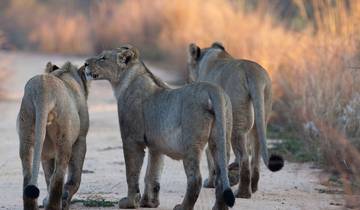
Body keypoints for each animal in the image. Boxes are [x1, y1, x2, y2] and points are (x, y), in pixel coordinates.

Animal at [17, 61, 90, 210]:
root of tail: (43, 89)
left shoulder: (45, 152)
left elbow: (47, 176)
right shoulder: (81, 139)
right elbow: (74, 177)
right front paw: (65, 200)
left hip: (27, 130)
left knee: (28, 176)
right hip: (64, 138)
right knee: (58, 176)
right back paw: (55, 205)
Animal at [84, 44, 236, 210]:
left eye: (103, 58)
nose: (85, 63)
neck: (125, 81)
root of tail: (213, 90)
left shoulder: (132, 139)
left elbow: (132, 173)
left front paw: (130, 202)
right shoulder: (156, 145)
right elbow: (152, 174)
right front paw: (149, 203)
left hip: (191, 144)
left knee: (195, 178)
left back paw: (183, 207)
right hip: (220, 139)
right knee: (221, 175)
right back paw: (218, 207)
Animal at [186, 42, 284, 199]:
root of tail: (252, 72)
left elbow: (211, 156)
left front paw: (211, 182)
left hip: (237, 122)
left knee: (244, 157)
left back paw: (243, 193)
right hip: (261, 116)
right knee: (255, 155)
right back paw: (253, 187)